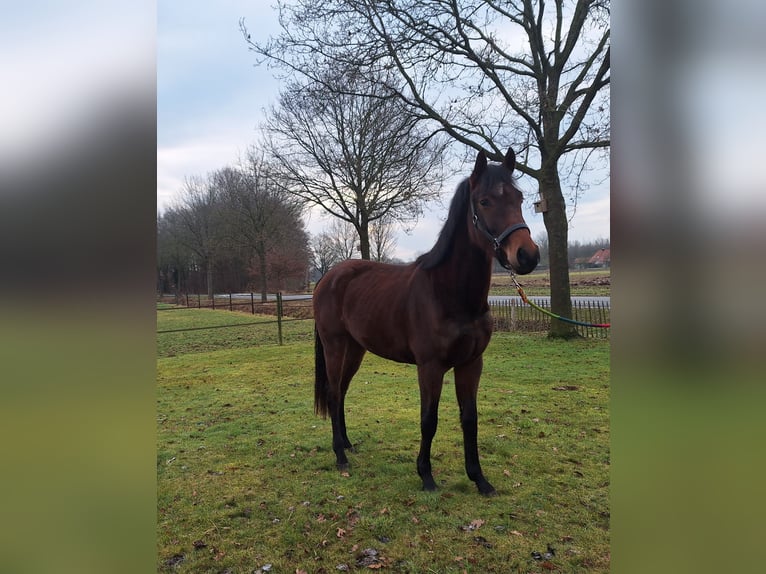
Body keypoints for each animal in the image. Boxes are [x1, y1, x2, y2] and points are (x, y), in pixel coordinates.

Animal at [313, 148, 540, 495]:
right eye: (485, 201)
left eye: (520, 197)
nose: (527, 255)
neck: (451, 295)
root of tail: (327, 278)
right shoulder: (430, 367)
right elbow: (428, 420)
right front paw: (426, 476)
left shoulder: (471, 363)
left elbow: (469, 418)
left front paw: (479, 479)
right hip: (335, 346)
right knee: (335, 392)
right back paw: (340, 456)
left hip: (355, 349)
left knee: (343, 392)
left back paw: (348, 444)